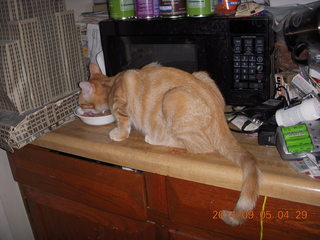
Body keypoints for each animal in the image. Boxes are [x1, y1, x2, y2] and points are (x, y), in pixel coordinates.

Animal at [79, 62, 260, 226]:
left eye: (80, 102)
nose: (79, 109)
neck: (111, 84)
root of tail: (220, 116)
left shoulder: (121, 108)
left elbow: (123, 126)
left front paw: (117, 134)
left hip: (173, 97)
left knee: (196, 145)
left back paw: (153, 138)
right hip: (201, 74)